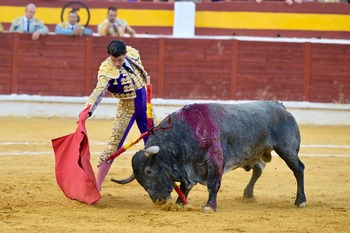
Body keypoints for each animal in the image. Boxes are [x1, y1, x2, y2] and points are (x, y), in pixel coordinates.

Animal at [113, 100, 306, 211]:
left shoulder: (215, 160)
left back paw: (300, 201)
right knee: (259, 168)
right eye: (139, 179)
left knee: (298, 169)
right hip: (256, 153)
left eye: (149, 171)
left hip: (287, 149)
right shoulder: (189, 169)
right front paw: (180, 203)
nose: (159, 200)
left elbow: (213, 184)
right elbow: (185, 186)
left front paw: (209, 206)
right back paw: (248, 194)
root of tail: (280, 106)